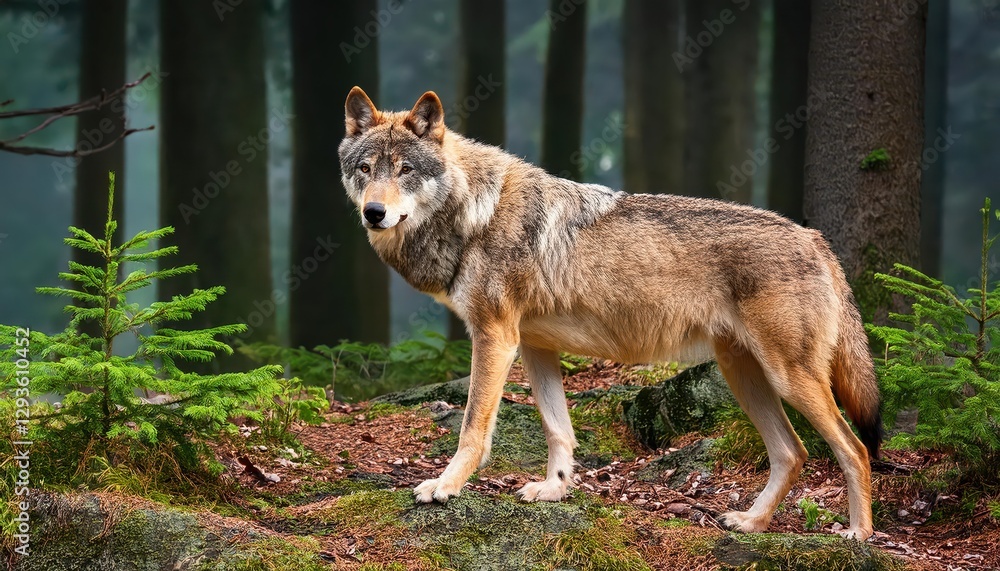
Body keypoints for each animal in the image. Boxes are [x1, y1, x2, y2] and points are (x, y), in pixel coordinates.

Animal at [338, 87, 882, 540]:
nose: (373, 213)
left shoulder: (493, 338)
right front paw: (554, 490)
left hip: (789, 378)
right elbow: (558, 430)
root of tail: (815, 238)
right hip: (743, 375)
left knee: (854, 450)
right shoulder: (534, 346)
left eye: (404, 170)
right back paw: (750, 522)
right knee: (793, 453)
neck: (476, 212)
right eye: (366, 169)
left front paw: (444, 487)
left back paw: (859, 534)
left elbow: (473, 427)